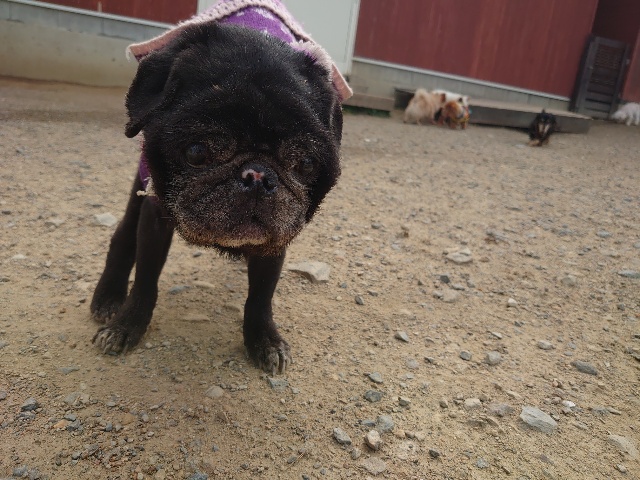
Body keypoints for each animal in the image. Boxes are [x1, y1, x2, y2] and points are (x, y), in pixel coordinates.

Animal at [89, 0, 351, 374]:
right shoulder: (155, 215)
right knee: (124, 232)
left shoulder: (276, 239)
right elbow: (146, 278)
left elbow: (261, 296)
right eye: (197, 152)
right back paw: (109, 295)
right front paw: (127, 325)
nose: (257, 176)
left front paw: (264, 340)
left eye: (304, 164)